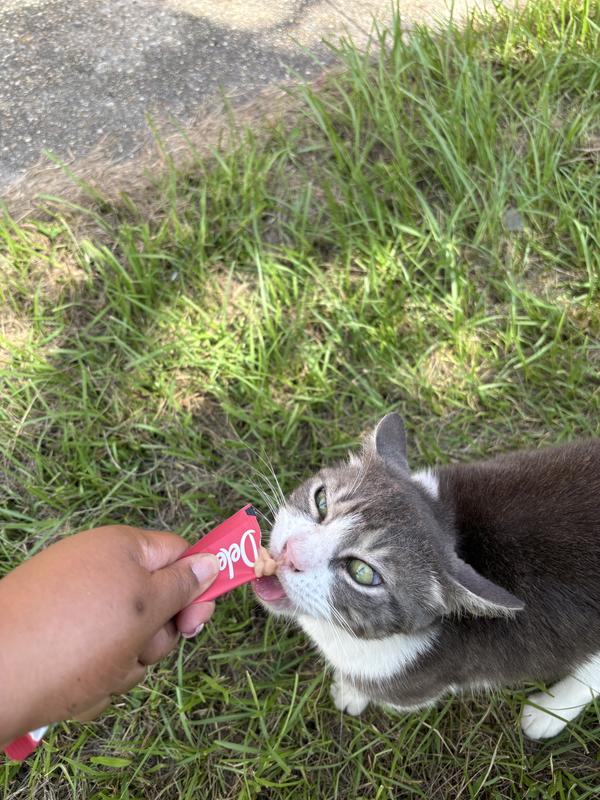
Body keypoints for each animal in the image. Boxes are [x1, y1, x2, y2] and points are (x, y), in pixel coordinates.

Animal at [254, 414, 600, 740]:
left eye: (363, 573)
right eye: (321, 501)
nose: (290, 551)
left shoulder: (416, 682)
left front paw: (350, 691)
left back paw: (546, 713)